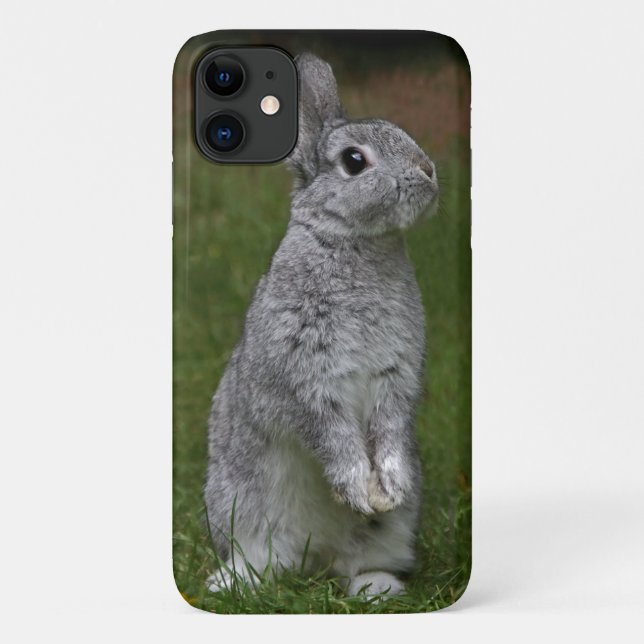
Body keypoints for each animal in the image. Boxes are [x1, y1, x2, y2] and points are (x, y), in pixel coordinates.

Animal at [204, 52, 439, 598]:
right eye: (354, 161)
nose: (428, 171)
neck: (355, 242)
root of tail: (315, 556)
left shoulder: (395, 379)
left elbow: (390, 429)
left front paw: (388, 488)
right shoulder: (307, 378)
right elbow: (332, 435)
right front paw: (357, 488)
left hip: (390, 532)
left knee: (362, 559)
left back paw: (375, 587)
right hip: (240, 504)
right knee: (261, 557)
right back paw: (233, 584)